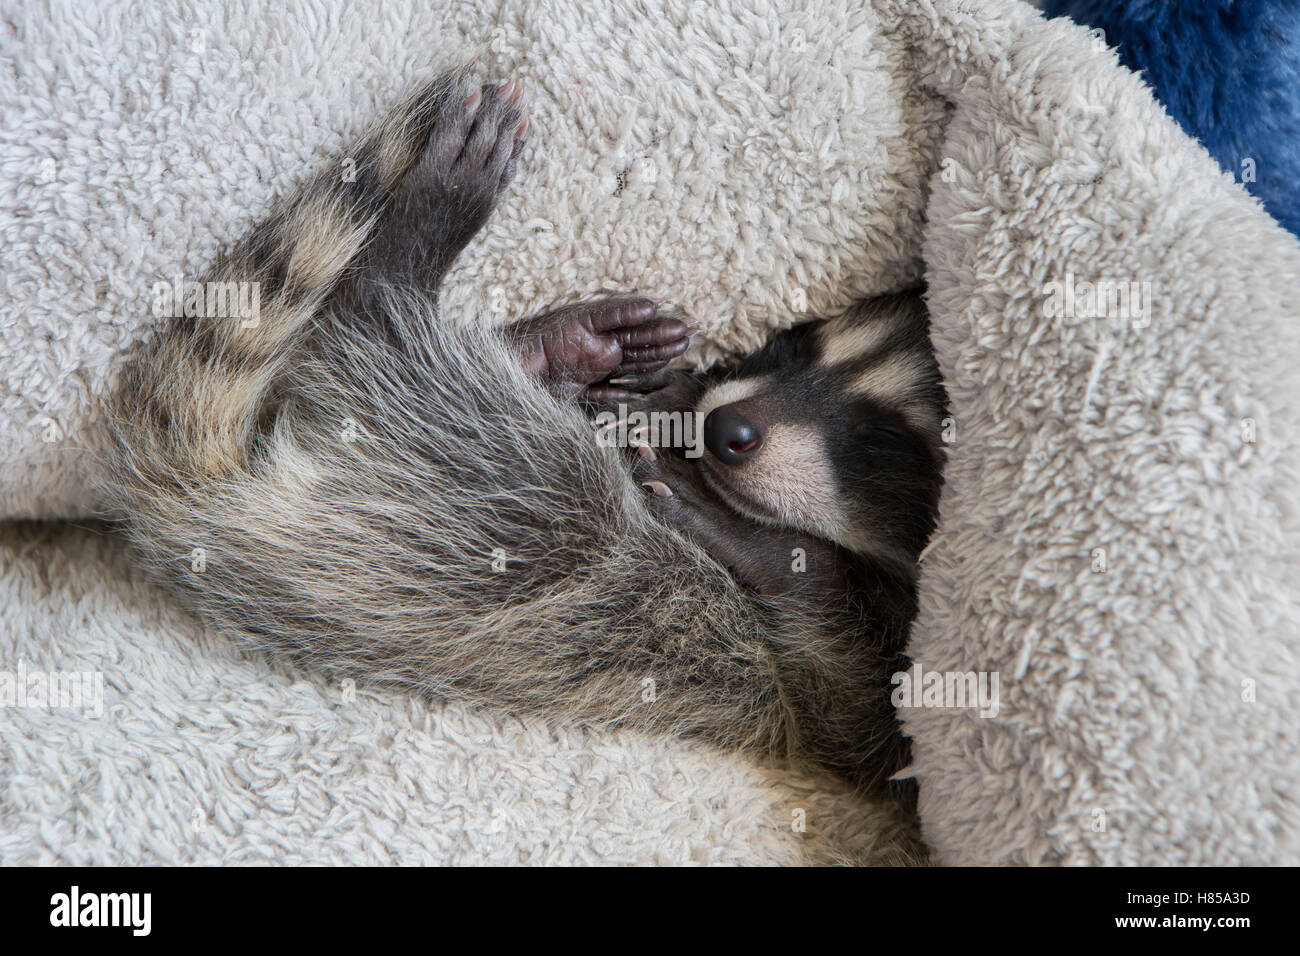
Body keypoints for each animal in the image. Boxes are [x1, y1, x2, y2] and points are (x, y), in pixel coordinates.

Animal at [104, 71, 945, 806]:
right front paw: (677, 400)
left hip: (482, 524)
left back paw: (393, 281)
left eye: (888, 442)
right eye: (798, 342)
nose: (724, 425)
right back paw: (527, 338)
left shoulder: (860, 706)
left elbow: (848, 705)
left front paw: (770, 547)